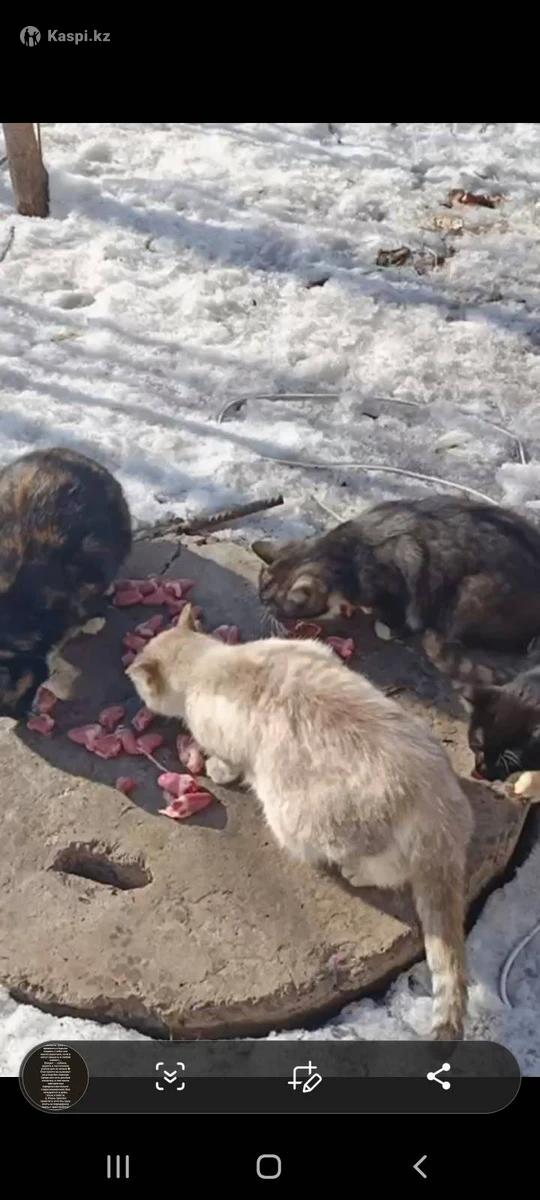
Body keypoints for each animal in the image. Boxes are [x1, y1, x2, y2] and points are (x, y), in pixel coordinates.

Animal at [128, 603, 474, 1040]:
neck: (209, 663)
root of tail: (436, 804)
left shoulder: (225, 741)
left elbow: (225, 765)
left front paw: (214, 770)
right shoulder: (312, 649)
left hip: (297, 821)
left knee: (388, 870)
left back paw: (356, 872)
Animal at [253, 496, 540, 658]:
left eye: (277, 607)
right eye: (262, 597)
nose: (266, 612)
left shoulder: (402, 563)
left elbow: (394, 609)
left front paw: (386, 623)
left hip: (472, 594)